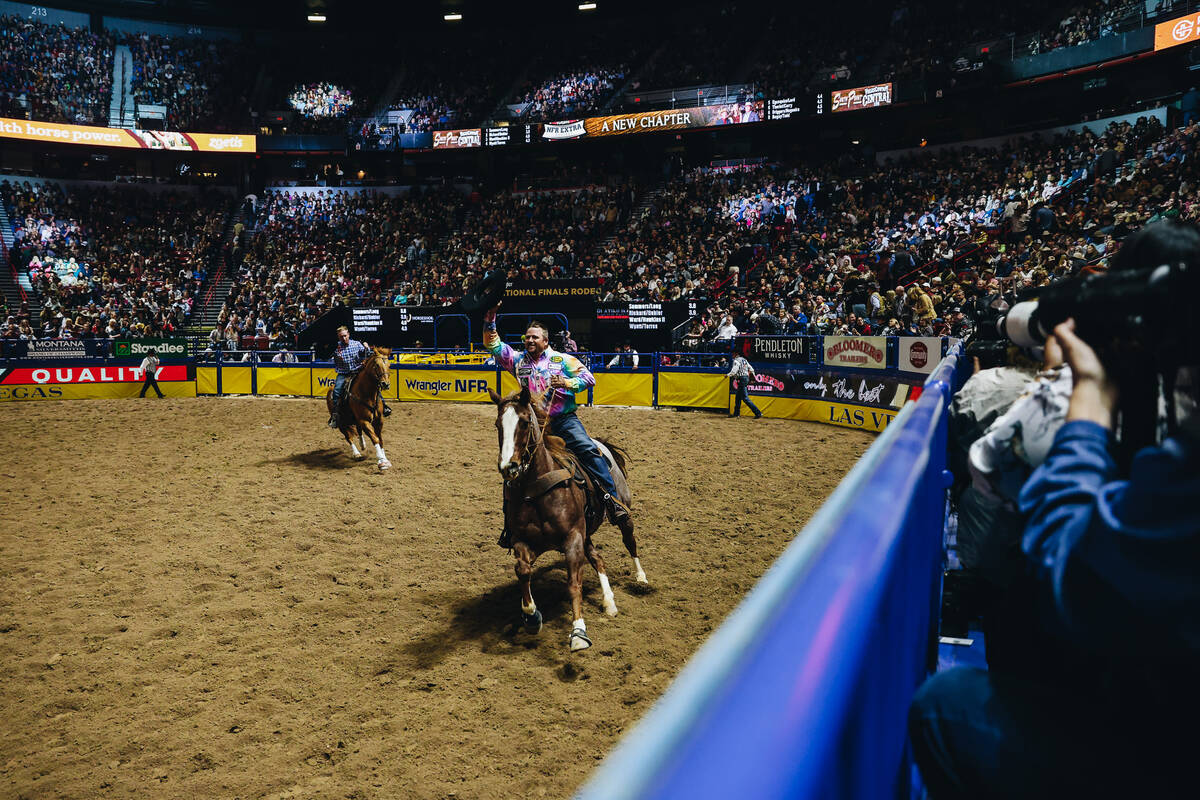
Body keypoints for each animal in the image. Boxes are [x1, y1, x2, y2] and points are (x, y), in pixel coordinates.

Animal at [487, 383, 648, 652]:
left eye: (524, 422)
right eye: (498, 424)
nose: (509, 467)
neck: (537, 490)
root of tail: (600, 444)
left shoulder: (572, 538)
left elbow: (574, 584)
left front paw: (579, 633)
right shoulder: (524, 541)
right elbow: (523, 570)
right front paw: (532, 617)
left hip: (621, 512)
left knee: (629, 540)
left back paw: (641, 578)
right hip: (586, 533)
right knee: (598, 558)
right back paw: (609, 601)